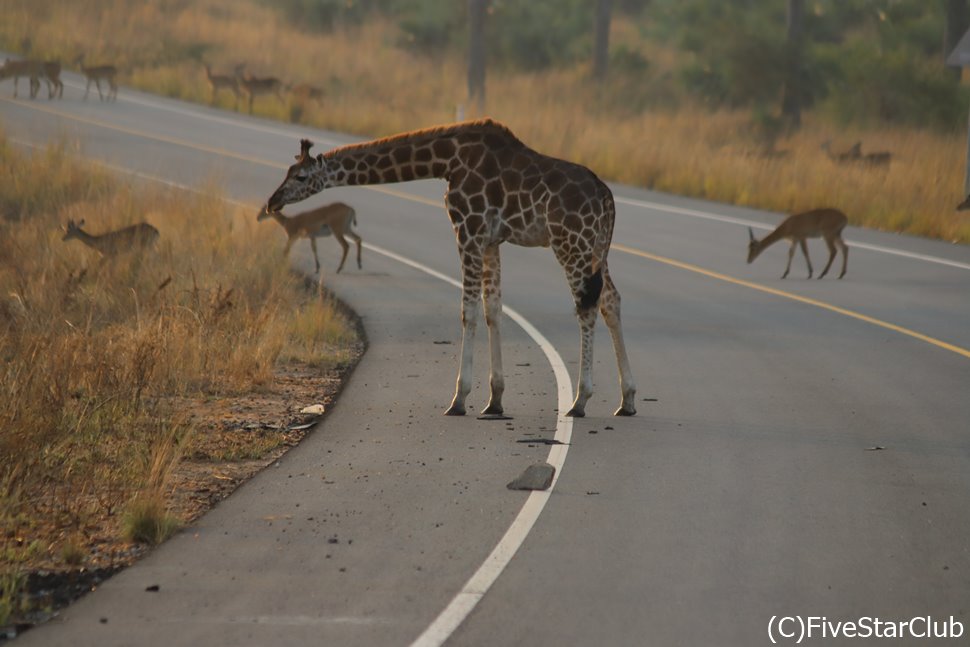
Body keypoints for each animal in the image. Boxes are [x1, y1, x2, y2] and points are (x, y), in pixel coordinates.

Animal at [260, 118, 636, 418]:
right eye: (287, 172)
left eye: (301, 176)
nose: (272, 201)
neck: (446, 161)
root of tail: (607, 198)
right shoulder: (490, 239)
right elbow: (492, 309)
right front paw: (494, 400)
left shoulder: (467, 230)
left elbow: (468, 311)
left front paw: (459, 399)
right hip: (596, 248)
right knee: (611, 300)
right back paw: (627, 399)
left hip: (569, 243)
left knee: (586, 307)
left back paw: (580, 400)